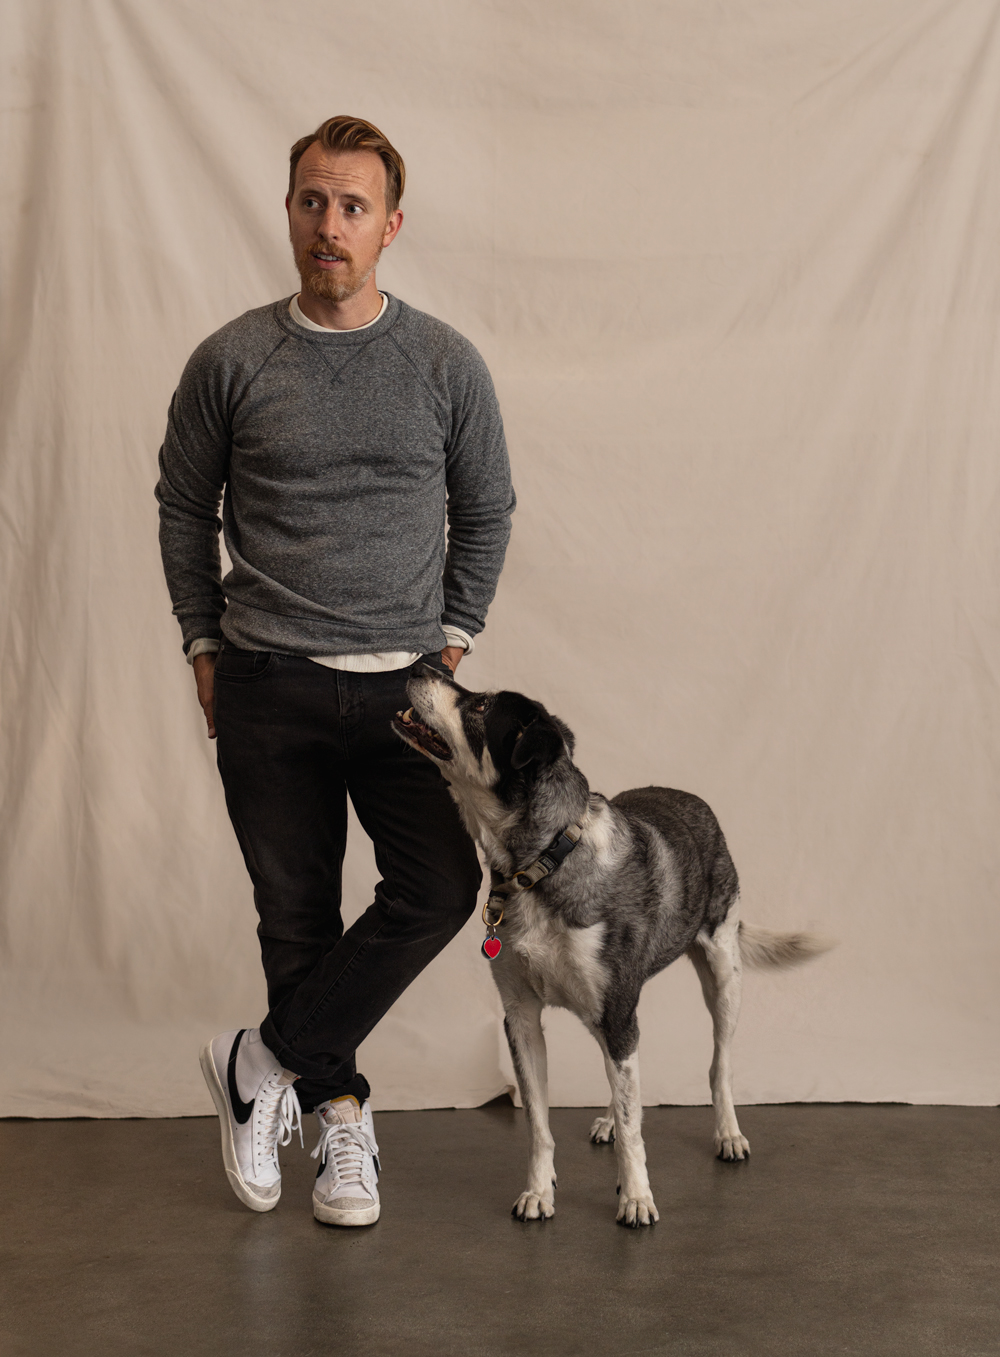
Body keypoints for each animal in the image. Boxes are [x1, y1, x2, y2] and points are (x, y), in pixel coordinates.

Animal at [390, 667, 824, 1232]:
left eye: (481, 706)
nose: (423, 666)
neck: (543, 864)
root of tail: (692, 798)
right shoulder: (522, 1017)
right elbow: (540, 1123)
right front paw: (539, 1191)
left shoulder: (618, 1012)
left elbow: (636, 1124)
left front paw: (636, 1196)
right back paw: (610, 1120)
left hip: (723, 974)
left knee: (718, 1066)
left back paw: (727, 1133)